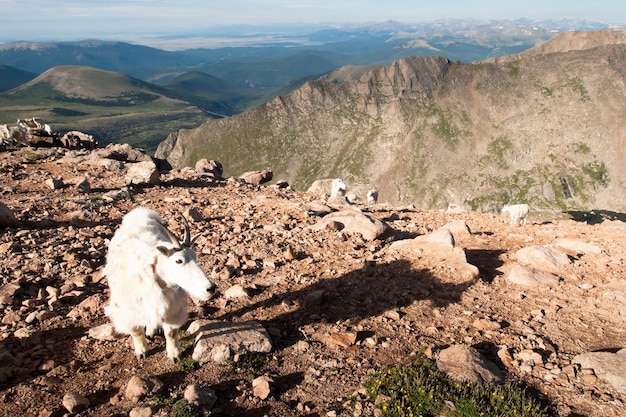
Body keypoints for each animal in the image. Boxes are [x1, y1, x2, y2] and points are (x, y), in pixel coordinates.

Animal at [103, 207, 216, 360]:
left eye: (195, 256)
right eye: (178, 260)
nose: (211, 288)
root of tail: (140, 213)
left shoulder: (172, 306)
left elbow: (171, 332)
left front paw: (175, 355)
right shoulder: (128, 308)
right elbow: (136, 331)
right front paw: (142, 352)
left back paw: (151, 331)